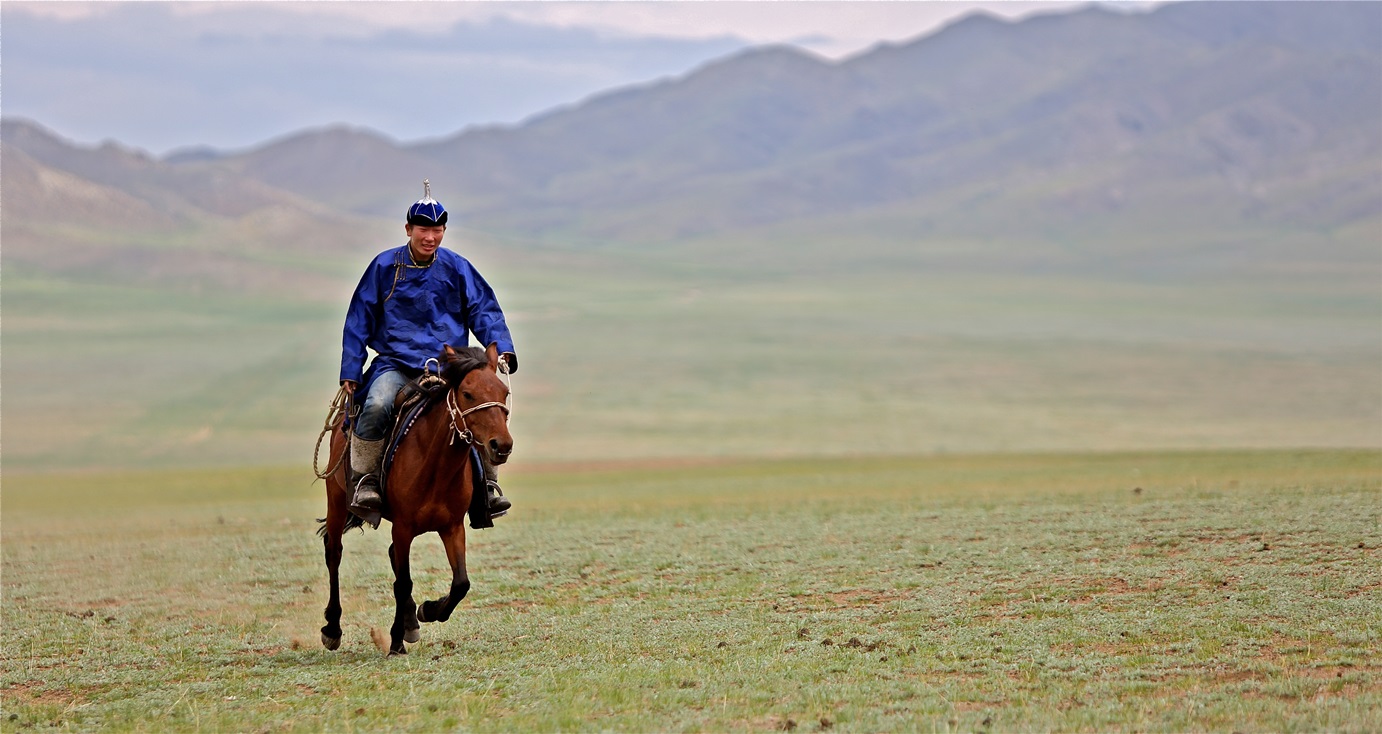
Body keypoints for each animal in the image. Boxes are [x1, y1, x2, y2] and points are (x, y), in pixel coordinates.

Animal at [316, 341, 514, 657]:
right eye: (467, 393)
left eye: (503, 392)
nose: (501, 445)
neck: (436, 465)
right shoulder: (404, 526)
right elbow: (403, 582)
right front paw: (396, 641)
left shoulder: (452, 527)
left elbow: (461, 582)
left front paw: (428, 610)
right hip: (336, 503)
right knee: (334, 554)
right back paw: (332, 629)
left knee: (391, 556)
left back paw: (410, 623)